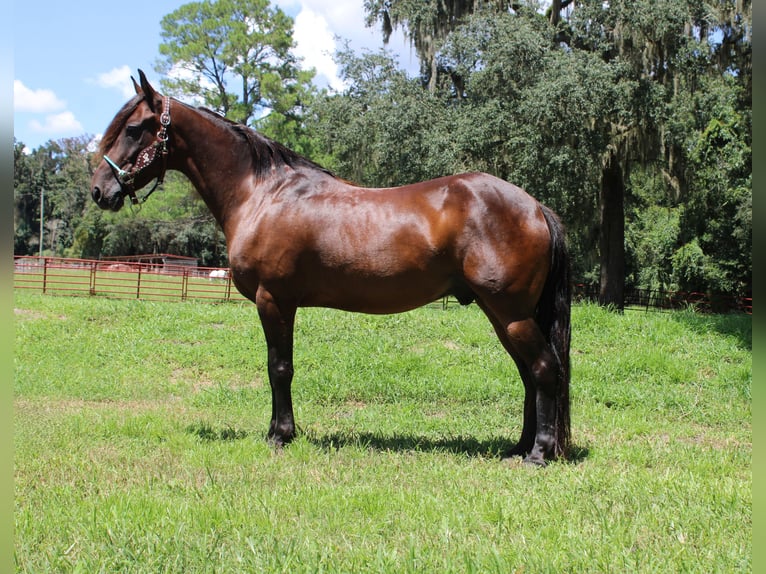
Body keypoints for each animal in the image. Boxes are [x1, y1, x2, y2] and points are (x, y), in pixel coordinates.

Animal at [90, 70, 571, 465]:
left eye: (133, 128)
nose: (99, 190)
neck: (261, 194)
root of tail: (536, 206)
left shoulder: (274, 301)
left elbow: (279, 368)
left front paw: (281, 435)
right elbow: (278, 367)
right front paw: (279, 431)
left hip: (510, 313)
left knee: (544, 369)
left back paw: (539, 454)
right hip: (502, 314)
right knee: (529, 376)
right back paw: (519, 447)